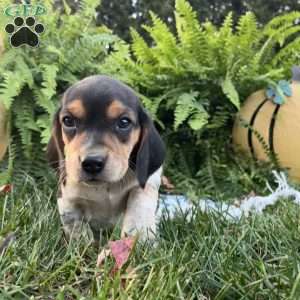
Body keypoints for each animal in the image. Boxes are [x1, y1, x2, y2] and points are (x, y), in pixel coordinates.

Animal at [47, 75, 165, 241]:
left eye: (124, 122)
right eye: (68, 121)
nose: (92, 163)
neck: (104, 187)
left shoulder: (148, 182)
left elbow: (140, 203)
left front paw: (139, 237)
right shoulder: (67, 197)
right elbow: (75, 224)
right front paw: (83, 242)